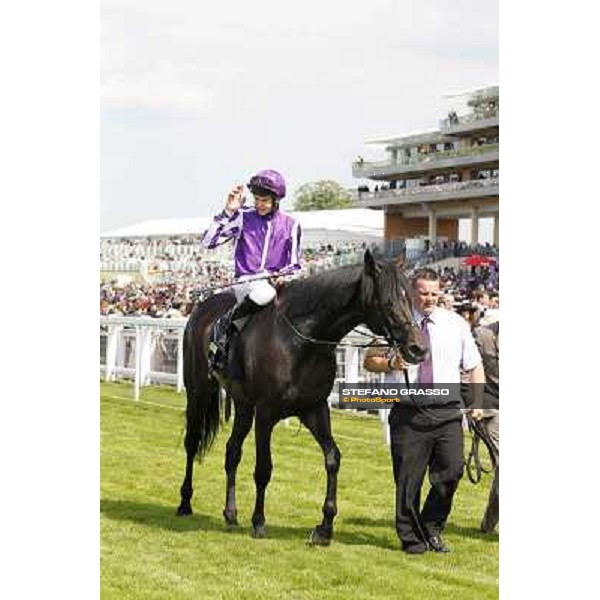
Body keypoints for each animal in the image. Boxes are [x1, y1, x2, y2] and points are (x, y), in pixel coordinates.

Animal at [176, 251, 424, 548]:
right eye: (388, 301)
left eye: (410, 299)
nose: (418, 348)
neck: (302, 341)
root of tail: (200, 308)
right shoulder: (266, 412)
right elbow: (263, 468)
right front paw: (259, 522)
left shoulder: (314, 408)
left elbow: (332, 458)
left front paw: (325, 527)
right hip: (199, 393)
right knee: (192, 443)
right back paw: (185, 502)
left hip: (244, 405)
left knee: (232, 451)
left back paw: (231, 513)